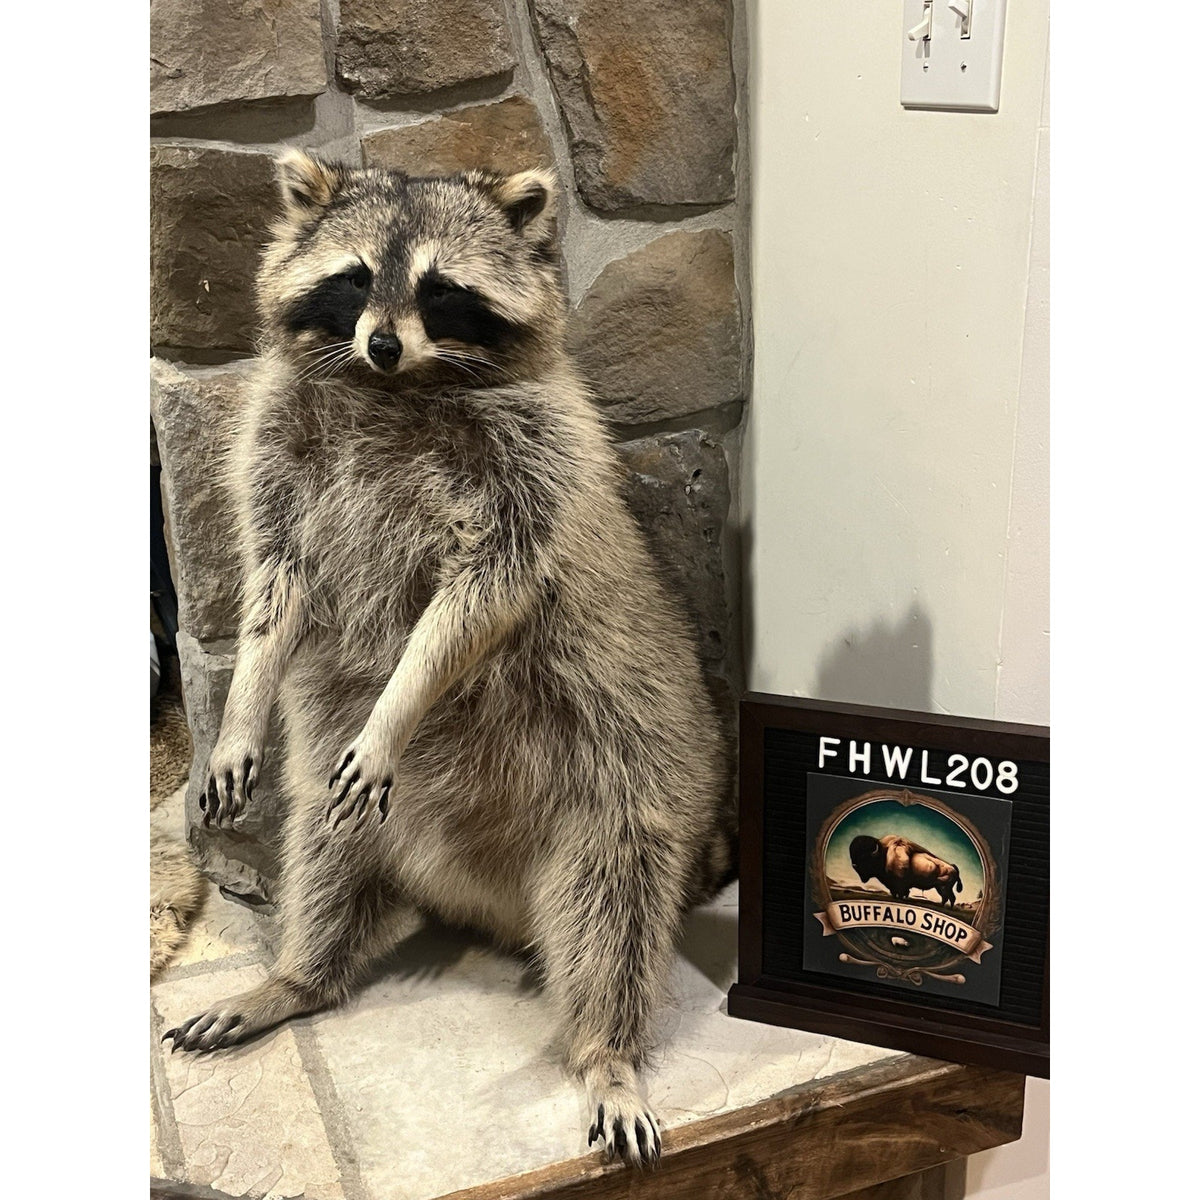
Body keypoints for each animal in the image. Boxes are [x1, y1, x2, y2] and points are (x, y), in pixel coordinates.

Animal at [162, 150, 736, 1168]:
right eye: (354, 279)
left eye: (440, 290)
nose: (384, 344)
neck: (395, 388)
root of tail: (488, 899)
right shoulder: (275, 446)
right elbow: (274, 586)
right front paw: (242, 707)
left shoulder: (535, 458)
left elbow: (478, 599)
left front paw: (402, 698)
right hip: (345, 790)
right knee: (322, 850)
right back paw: (298, 975)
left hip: (628, 766)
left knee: (616, 908)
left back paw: (605, 1051)